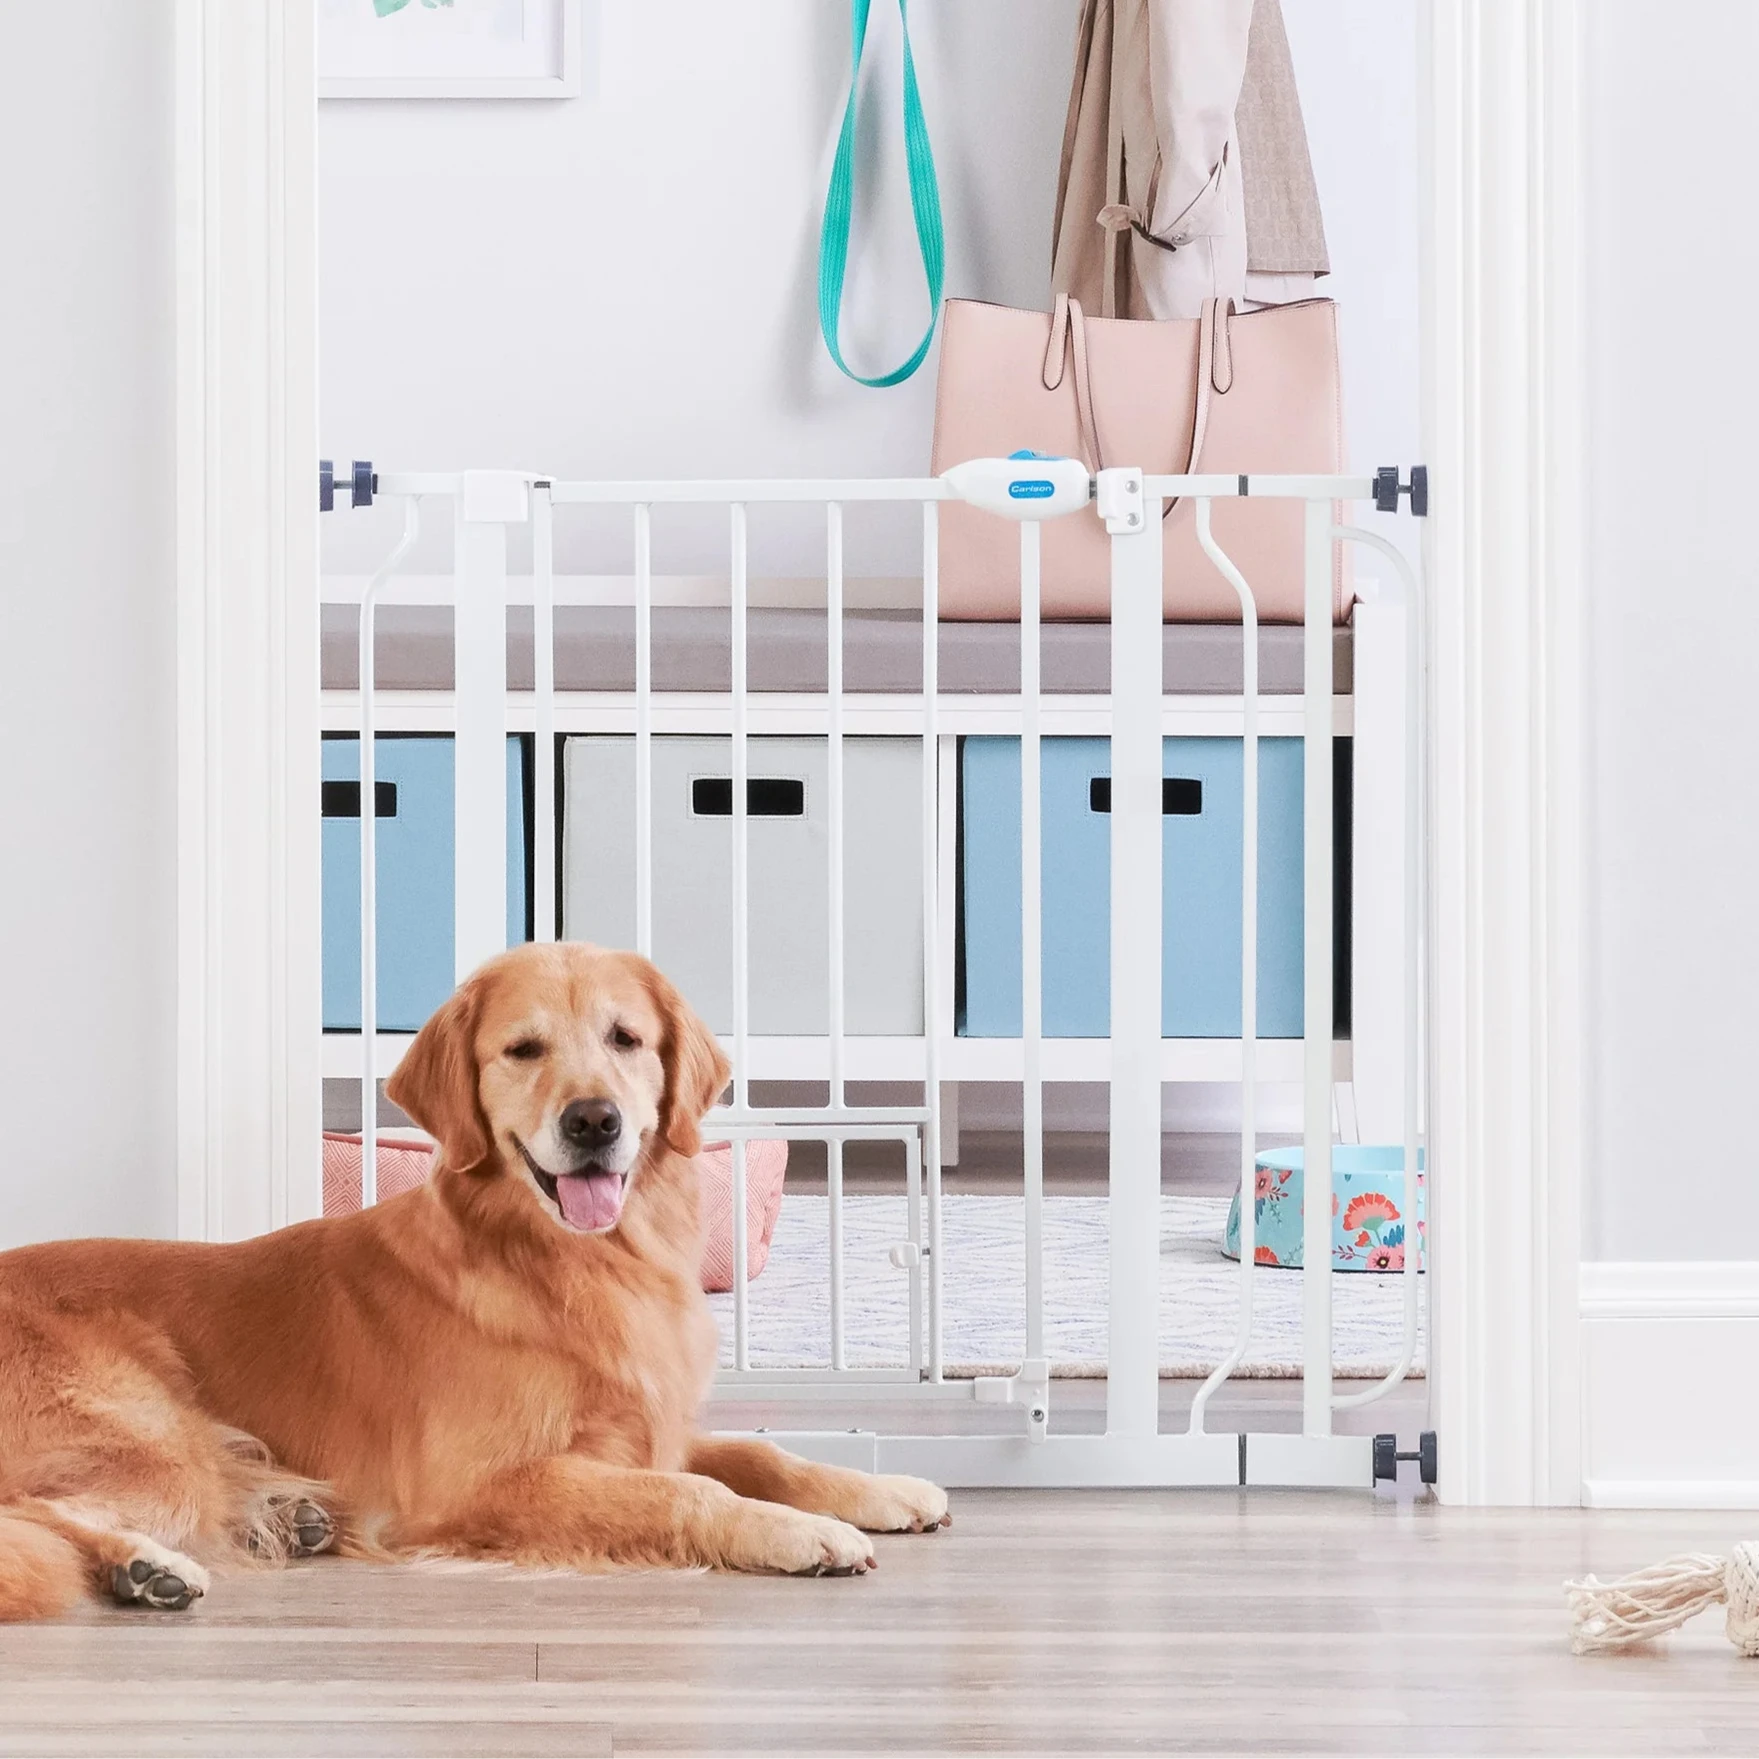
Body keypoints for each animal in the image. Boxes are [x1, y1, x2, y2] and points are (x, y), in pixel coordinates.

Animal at [0, 949, 949, 1618]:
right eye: (523, 1049)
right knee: (32, 1510)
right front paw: (797, 1531)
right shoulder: (480, 1482)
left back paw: (288, 1519)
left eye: (625, 1039)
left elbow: (758, 1452)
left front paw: (881, 1490)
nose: (594, 1120)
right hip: (155, 1438)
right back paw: (142, 1564)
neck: (561, 1263)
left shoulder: (645, 1430)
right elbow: (691, 1488)